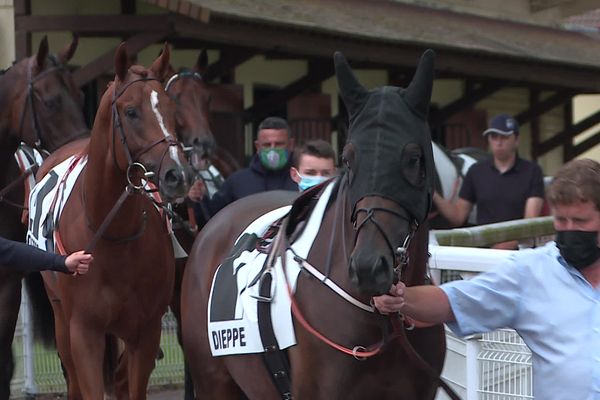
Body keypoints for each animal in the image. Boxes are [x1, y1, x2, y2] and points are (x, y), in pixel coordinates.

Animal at [31, 42, 191, 398]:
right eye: (131, 112)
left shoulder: (145, 333)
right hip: (61, 318)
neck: (112, 233)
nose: (178, 175)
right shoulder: (83, 333)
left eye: (173, 112)